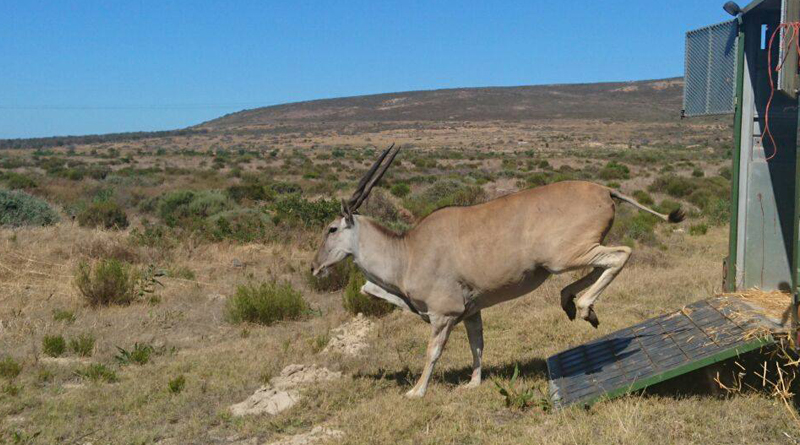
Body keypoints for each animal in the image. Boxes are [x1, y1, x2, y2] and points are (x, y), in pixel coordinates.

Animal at [310, 144, 684, 398]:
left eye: (332, 228)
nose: (314, 267)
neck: (408, 251)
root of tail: (605, 190)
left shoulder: (443, 316)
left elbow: (433, 352)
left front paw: (417, 391)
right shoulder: (470, 312)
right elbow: (477, 346)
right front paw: (473, 384)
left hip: (563, 257)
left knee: (620, 255)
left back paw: (582, 305)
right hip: (569, 257)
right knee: (600, 265)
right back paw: (572, 302)